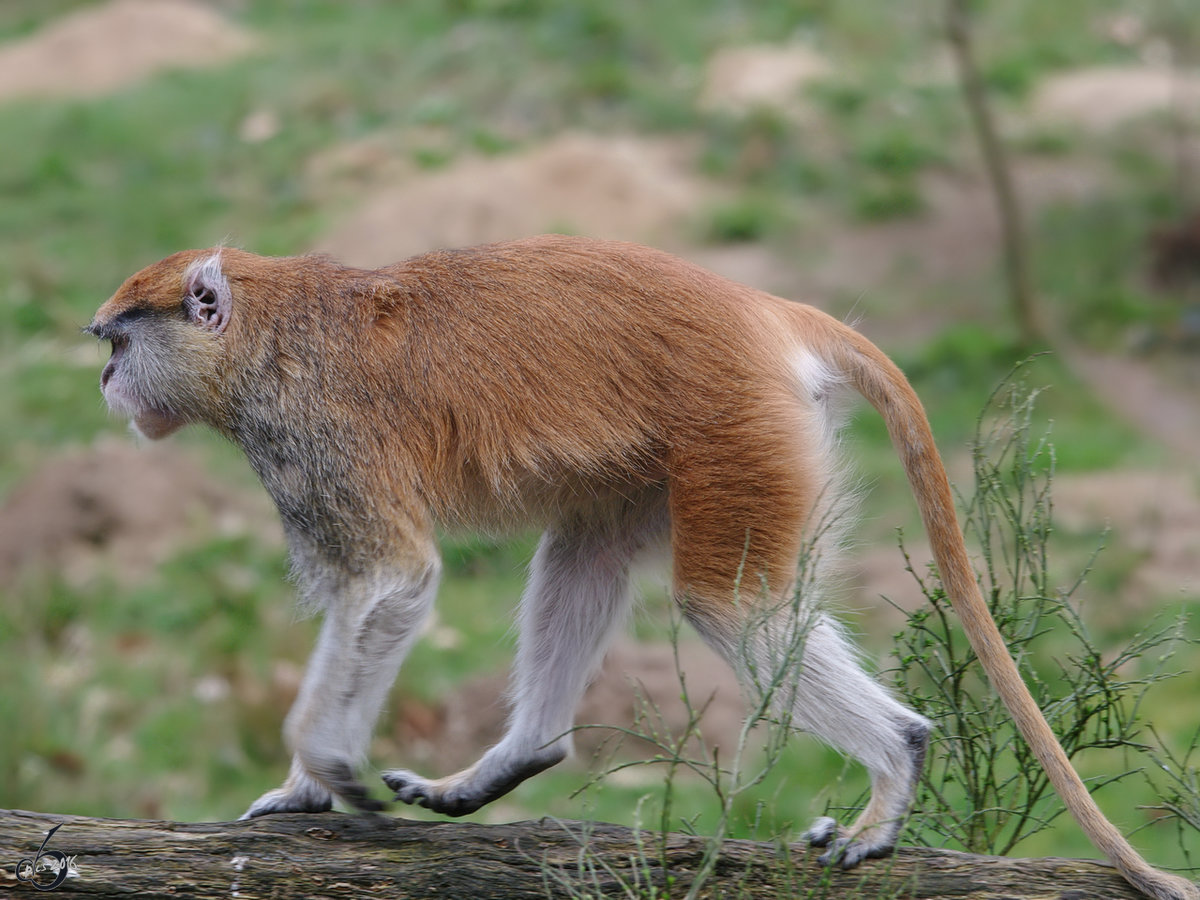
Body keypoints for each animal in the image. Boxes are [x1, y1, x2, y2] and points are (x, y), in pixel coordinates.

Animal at [88, 236, 1195, 897]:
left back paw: (899, 761)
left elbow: (394, 582)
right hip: (667, 451)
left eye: (119, 340)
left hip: (738, 431)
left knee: (729, 609)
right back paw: (515, 757)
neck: (266, 325)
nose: (103, 382)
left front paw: (324, 768)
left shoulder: (314, 440)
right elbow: (374, 595)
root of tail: (763, 308)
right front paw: (307, 789)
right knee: (584, 548)